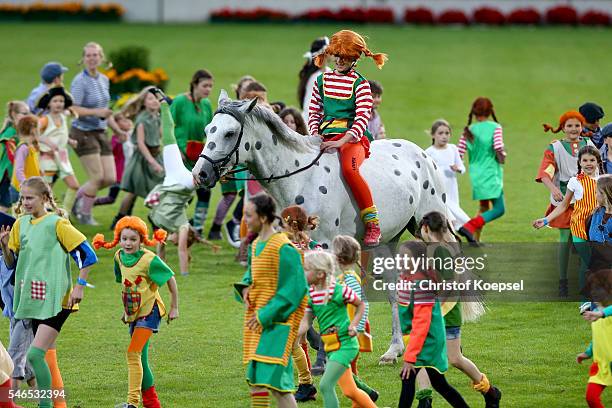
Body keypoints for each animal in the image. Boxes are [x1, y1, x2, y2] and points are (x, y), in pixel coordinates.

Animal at [194, 91, 452, 362]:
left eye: (229, 133)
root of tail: (423, 154)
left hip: (429, 228)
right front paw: (314, 341)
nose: (200, 174)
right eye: (208, 130)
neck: (298, 178)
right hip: (386, 241)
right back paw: (394, 348)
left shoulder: (325, 246)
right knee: (393, 286)